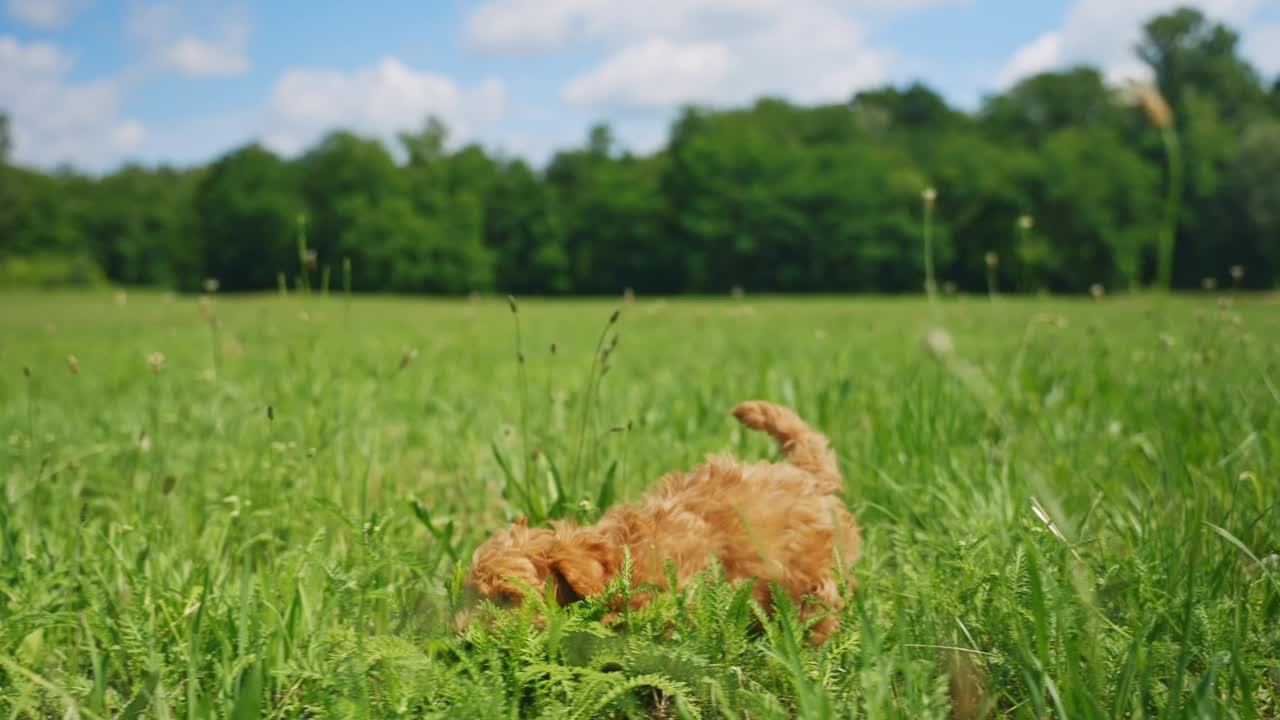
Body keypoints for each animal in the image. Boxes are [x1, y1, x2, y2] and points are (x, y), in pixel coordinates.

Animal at [460, 399, 860, 640]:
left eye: (508, 598)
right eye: (469, 596)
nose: (463, 637)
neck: (617, 558)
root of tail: (809, 475)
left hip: (813, 577)